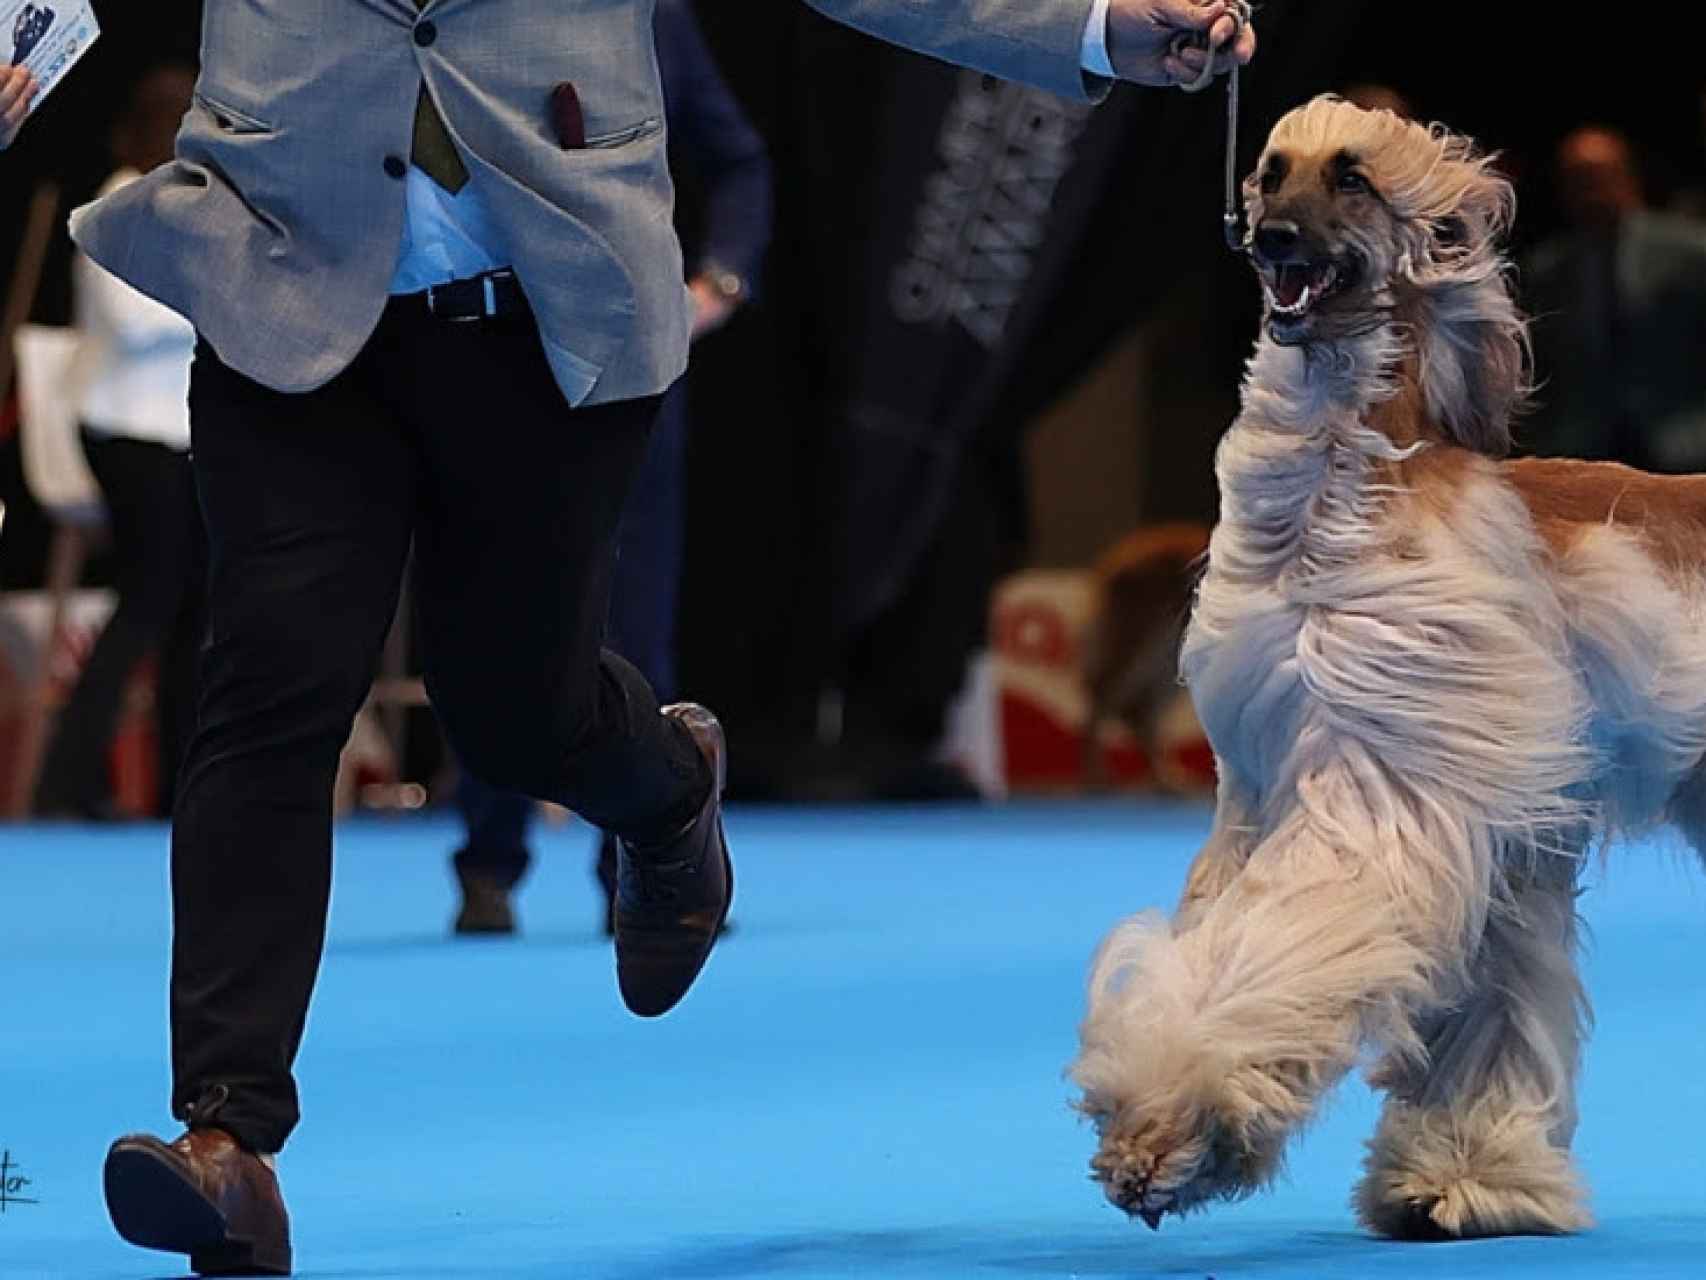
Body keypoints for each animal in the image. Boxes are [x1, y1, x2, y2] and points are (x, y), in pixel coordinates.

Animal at [1071, 95, 1706, 1249]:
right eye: (1268, 172)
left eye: (1353, 179)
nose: (1270, 241)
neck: (1338, 490)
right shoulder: (1289, 784)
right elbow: (1470, 997)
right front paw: (1462, 1174)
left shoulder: (1392, 772)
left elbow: (1286, 934)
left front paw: (1175, 1127)